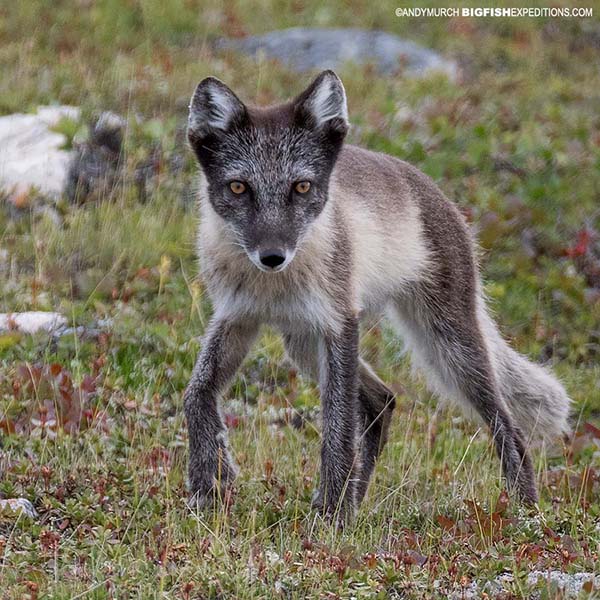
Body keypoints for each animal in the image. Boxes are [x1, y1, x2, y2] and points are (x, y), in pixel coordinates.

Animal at [184, 70, 572, 520]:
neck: (273, 287)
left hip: (447, 345)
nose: (273, 256)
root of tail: (434, 191)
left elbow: (337, 431)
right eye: (238, 187)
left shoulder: (340, 324)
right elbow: (196, 396)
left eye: (302, 187)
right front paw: (209, 485)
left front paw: (332, 519)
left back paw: (525, 514)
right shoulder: (237, 317)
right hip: (302, 344)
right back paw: (357, 496)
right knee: (382, 402)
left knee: (506, 423)